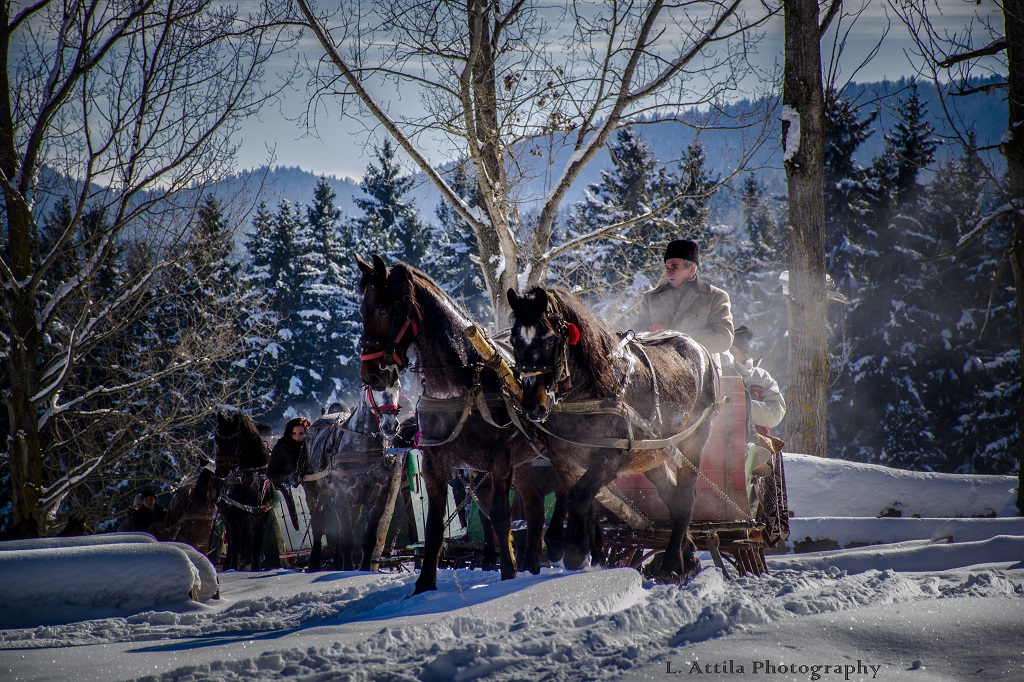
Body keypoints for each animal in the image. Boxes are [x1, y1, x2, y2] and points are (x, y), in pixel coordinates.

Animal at [215, 405, 274, 569]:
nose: (220, 471)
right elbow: (236, 544)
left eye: (232, 442)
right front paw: (234, 567)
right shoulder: (231, 515)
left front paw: (254, 568)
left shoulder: (259, 516)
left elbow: (255, 546)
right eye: (216, 440)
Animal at [360, 251, 552, 593]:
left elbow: (500, 517)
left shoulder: (500, 460)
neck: (457, 387)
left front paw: (507, 574)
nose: (372, 374)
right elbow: (435, 527)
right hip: (525, 465)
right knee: (533, 508)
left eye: (383, 307)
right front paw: (424, 585)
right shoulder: (435, 464)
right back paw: (533, 562)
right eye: (361, 308)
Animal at [505, 284, 716, 581]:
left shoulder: (611, 456)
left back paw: (672, 563)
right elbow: (580, 498)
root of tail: (699, 349)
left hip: (692, 443)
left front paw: (574, 551)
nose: (533, 406)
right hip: (652, 455)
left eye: (548, 340)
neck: (593, 390)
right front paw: (586, 549)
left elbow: (579, 496)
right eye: (514, 340)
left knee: (685, 498)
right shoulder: (564, 459)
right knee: (671, 496)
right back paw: (687, 557)